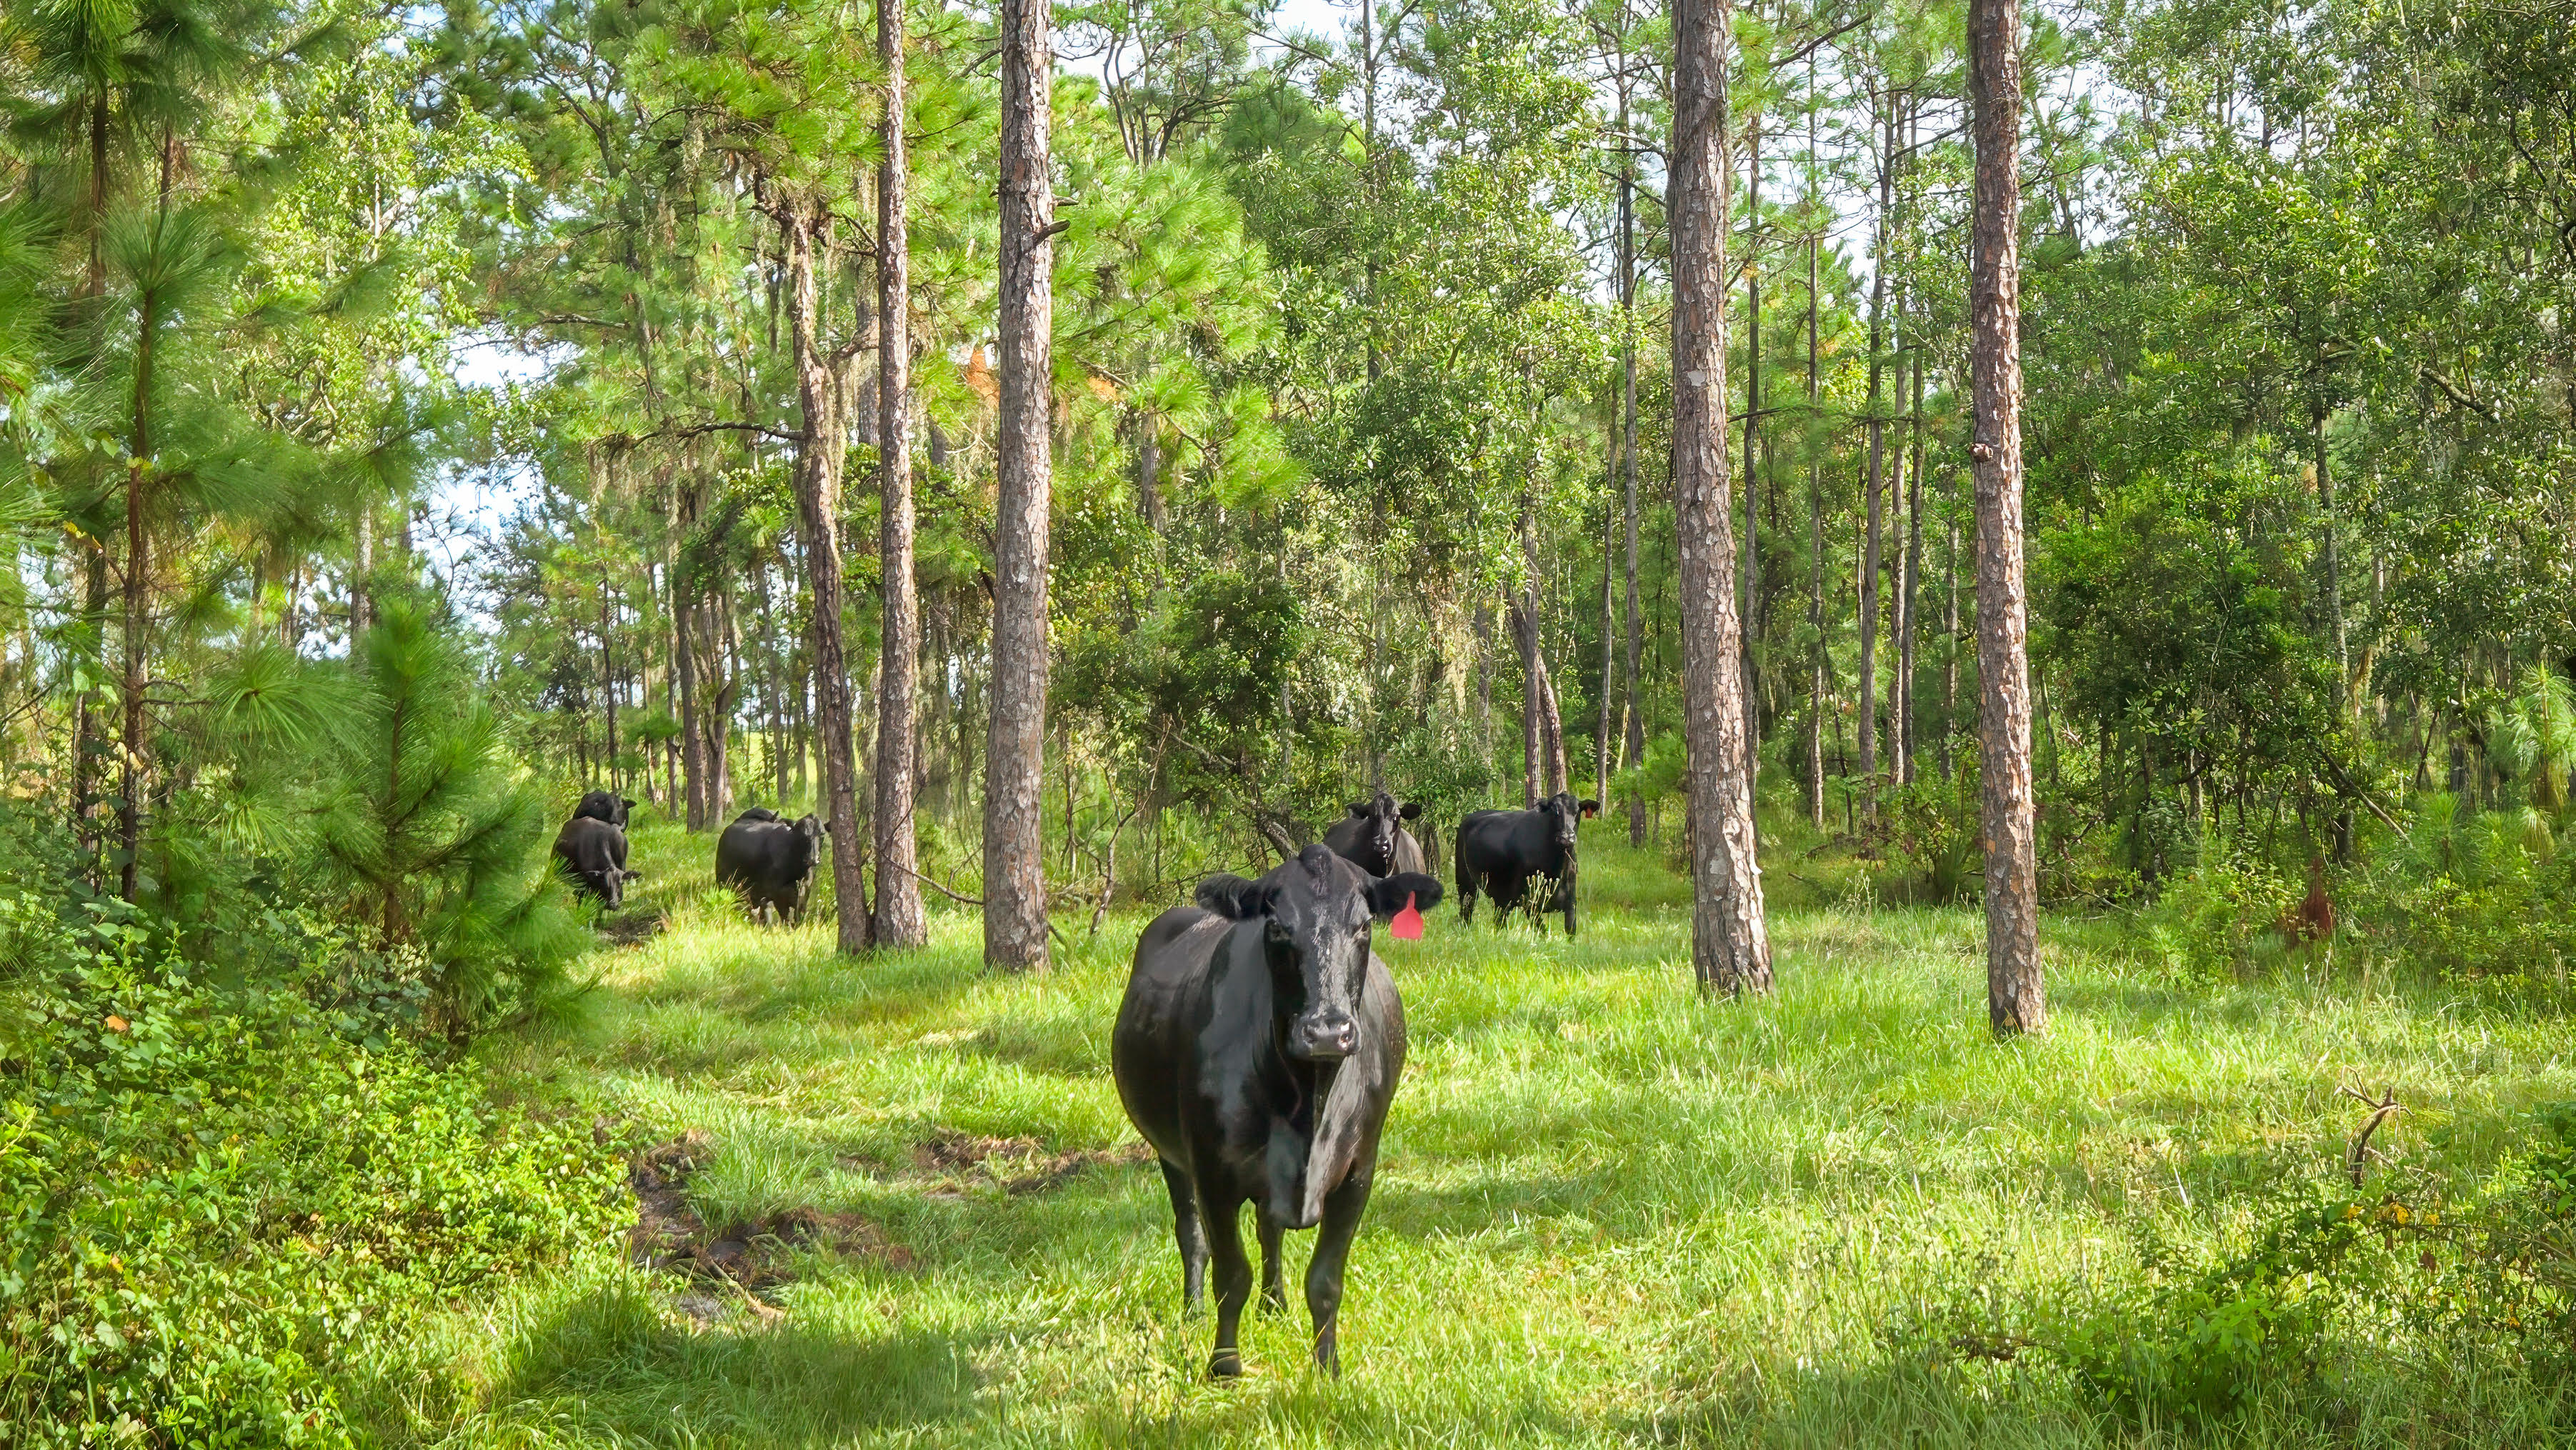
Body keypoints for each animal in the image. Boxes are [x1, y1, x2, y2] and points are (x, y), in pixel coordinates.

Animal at [714, 811, 827, 925]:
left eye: (822, 834)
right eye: (802, 836)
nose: (813, 859)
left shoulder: (803, 897)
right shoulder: (778, 897)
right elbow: (786, 920)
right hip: (726, 883)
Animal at [1112, 845, 1441, 1380]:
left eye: (1364, 925)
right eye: (1278, 927)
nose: (1327, 1031)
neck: (1307, 1103)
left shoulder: (1359, 1172)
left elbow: (1325, 1279)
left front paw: (1327, 1369)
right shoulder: (1212, 1170)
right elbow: (1230, 1273)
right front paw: (1224, 1366)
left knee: (1269, 1229)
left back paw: (1274, 1305)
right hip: (1170, 1152)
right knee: (1191, 1234)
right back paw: (1192, 1312)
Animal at [1454, 791, 1598, 939]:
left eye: (1577, 811)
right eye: (1554, 811)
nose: (1567, 837)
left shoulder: (1570, 901)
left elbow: (1570, 932)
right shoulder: (1529, 902)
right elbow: (1542, 931)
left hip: (1501, 897)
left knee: (1499, 920)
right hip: (1465, 883)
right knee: (1467, 911)